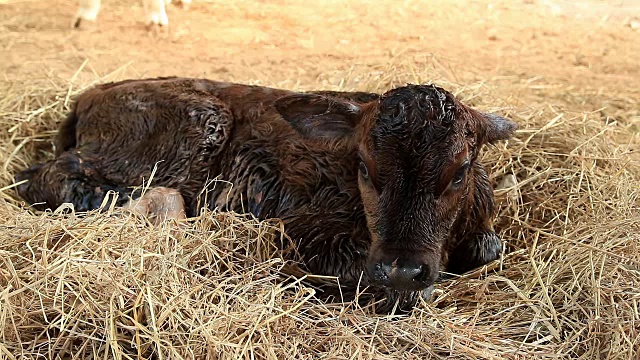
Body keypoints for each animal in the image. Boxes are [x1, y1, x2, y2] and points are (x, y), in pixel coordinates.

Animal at [15, 76, 516, 312]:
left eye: (460, 171)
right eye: (364, 167)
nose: (400, 268)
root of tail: (89, 96)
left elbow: (488, 248)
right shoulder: (303, 228)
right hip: (185, 133)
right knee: (45, 176)